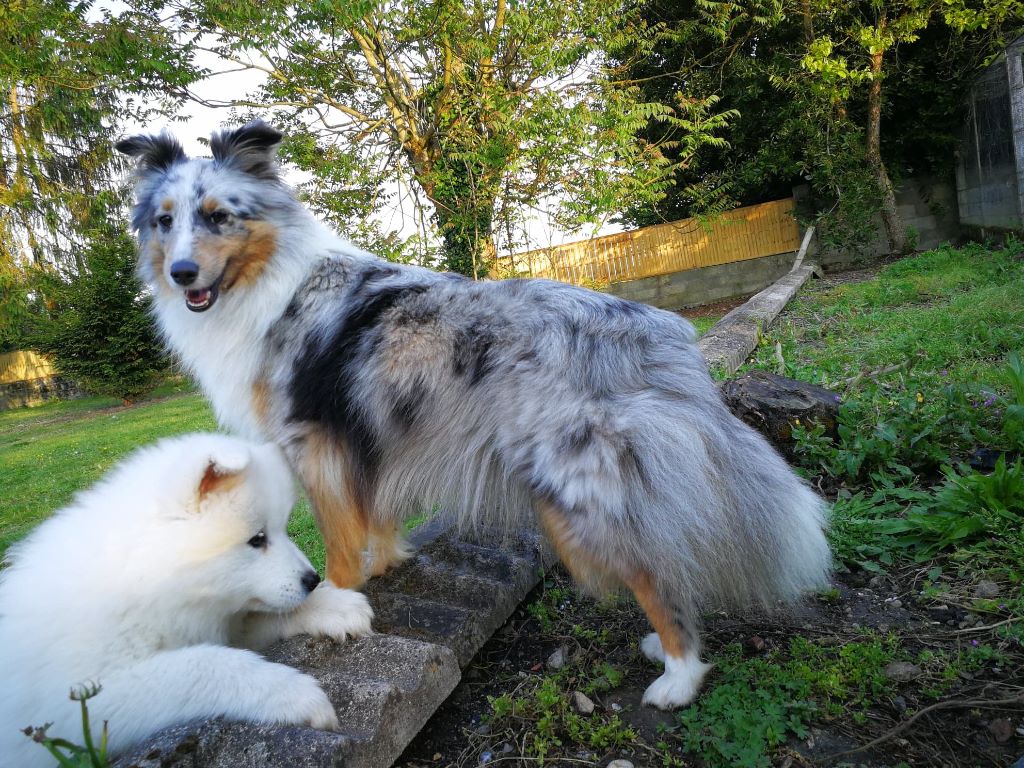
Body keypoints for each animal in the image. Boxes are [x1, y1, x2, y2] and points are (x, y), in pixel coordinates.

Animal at [0, 436, 374, 765]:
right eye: (257, 539)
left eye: (283, 529)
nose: (312, 580)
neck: (144, 578)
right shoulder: (82, 701)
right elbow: (208, 663)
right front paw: (296, 694)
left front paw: (336, 606)